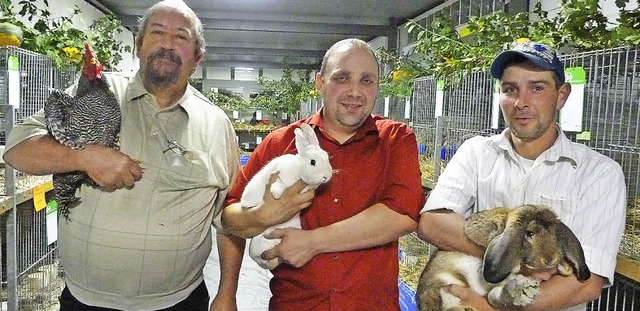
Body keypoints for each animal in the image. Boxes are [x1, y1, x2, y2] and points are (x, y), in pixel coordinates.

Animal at [241, 123, 336, 270]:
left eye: (327, 157)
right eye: (313, 162)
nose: (326, 176)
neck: (299, 170)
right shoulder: (283, 172)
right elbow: (281, 182)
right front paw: (276, 193)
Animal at [416, 206, 592, 310]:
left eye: (555, 236)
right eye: (529, 233)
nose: (549, 260)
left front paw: (565, 268)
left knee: (494, 296)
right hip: (443, 284)